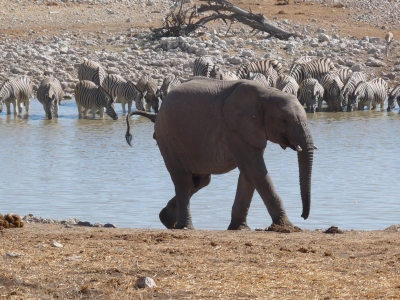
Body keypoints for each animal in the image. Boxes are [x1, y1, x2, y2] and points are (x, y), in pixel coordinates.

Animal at [126, 77, 318, 230]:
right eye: (284, 121)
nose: (304, 216)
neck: (267, 94)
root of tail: (156, 115)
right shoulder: (235, 130)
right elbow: (256, 171)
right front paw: (289, 227)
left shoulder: (249, 132)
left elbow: (249, 175)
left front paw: (239, 229)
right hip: (169, 138)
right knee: (183, 180)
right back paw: (185, 227)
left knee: (200, 181)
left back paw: (167, 221)